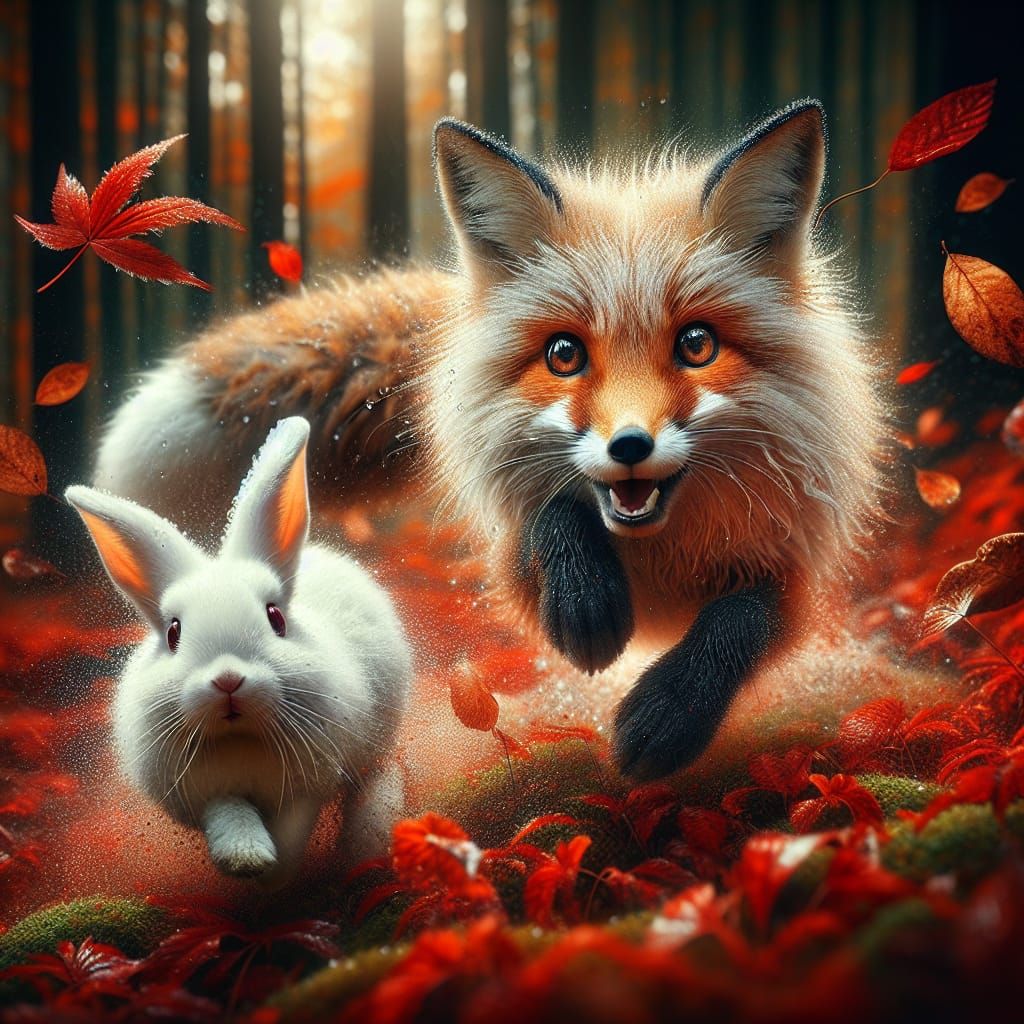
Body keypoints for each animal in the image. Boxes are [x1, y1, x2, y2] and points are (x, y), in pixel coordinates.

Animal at [66, 416, 412, 886]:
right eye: (173, 633)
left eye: (276, 618)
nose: (228, 680)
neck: (241, 739)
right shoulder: (207, 794)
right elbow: (230, 815)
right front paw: (247, 859)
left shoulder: (304, 790)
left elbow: (292, 831)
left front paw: (275, 878)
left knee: (376, 773)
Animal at [94, 99, 882, 781]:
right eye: (564, 355)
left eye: (697, 345)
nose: (629, 446)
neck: (660, 557)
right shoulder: (513, 557)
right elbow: (550, 518)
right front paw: (588, 605)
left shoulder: (797, 569)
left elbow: (743, 617)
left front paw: (669, 714)